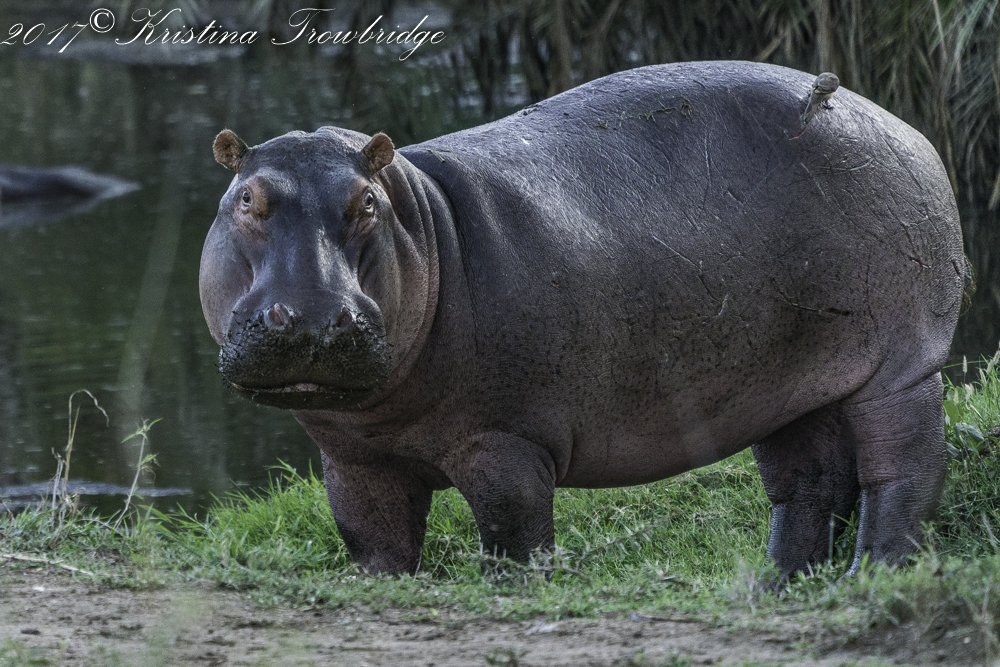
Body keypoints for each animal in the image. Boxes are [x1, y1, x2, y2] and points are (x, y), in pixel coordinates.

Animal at [199, 61, 967, 577]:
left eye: (366, 203)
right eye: (246, 198)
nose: (311, 317)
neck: (425, 222)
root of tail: (904, 127)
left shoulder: (505, 441)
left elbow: (514, 538)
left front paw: (512, 587)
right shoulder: (353, 460)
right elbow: (373, 546)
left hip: (901, 363)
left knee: (903, 469)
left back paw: (877, 570)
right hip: (789, 380)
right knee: (807, 483)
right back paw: (776, 581)